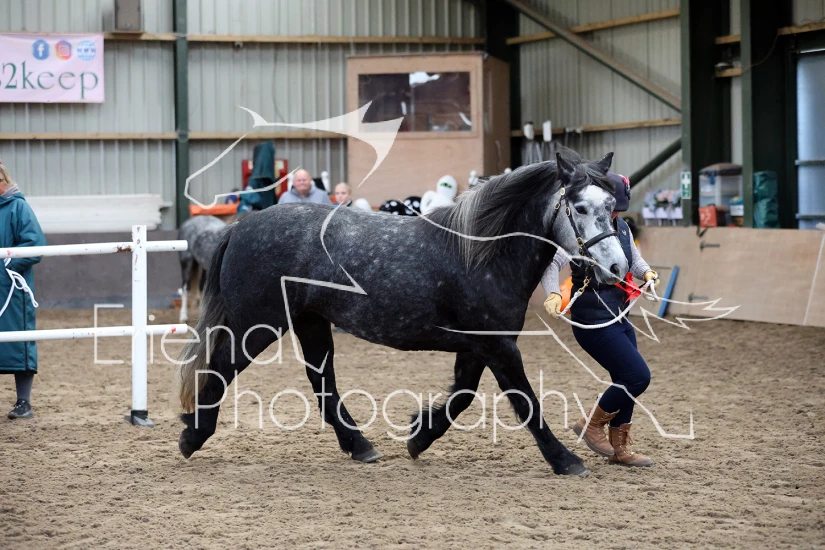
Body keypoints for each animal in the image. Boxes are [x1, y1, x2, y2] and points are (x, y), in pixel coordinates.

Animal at [177, 150, 627, 476]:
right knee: (221, 369)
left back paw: (360, 446)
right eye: (580, 207)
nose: (616, 268)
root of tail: (240, 227)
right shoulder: (498, 346)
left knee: (322, 383)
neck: (480, 252)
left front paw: (418, 437)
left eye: (611, 204)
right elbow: (525, 401)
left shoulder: (479, 345)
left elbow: (462, 396)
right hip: (259, 325)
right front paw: (566, 460)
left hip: (309, 323)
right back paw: (192, 437)